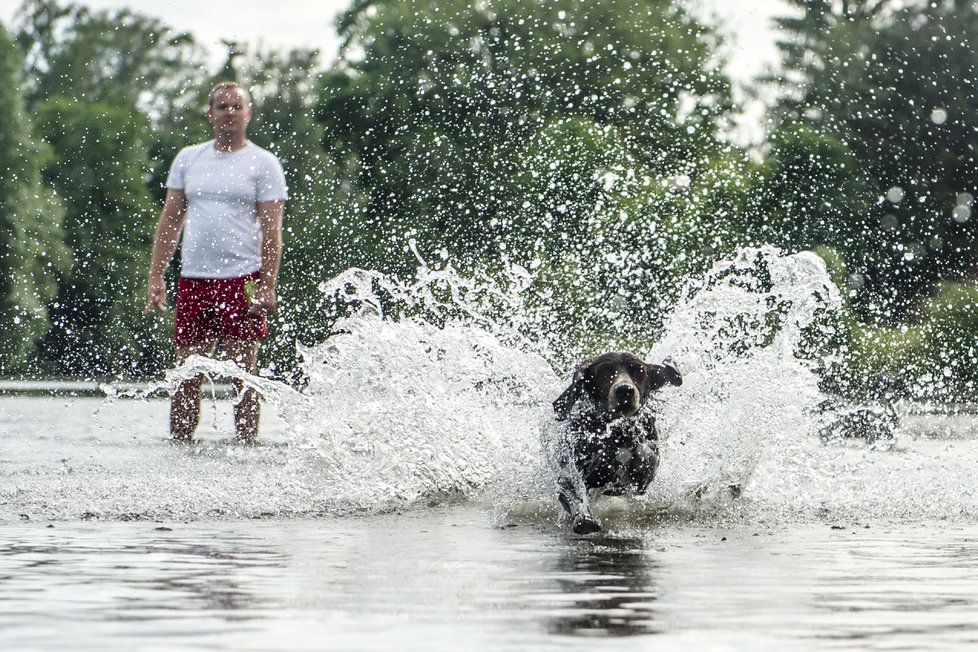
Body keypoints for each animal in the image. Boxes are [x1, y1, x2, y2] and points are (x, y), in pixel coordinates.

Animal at [548, 354, 680, 532]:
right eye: (604, 371)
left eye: (639, 370)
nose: (625, 389)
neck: (617, 434)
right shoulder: (568, 475)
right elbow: (575, 494)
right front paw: (584, 519)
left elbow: (645, 458)